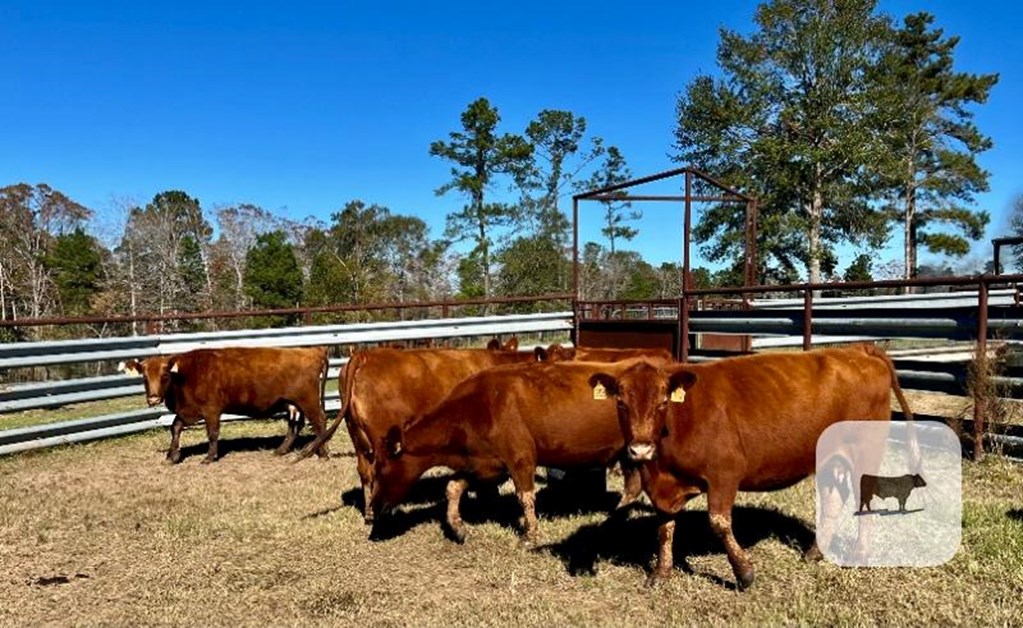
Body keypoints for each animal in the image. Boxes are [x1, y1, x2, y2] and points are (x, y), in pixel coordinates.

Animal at [120, 347, 329, 464]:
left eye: (164, 375)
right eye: (144, 377)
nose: (153, 399)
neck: (186, 375)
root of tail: (313, 351)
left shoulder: (211, 410)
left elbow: (212, 433)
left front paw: (209, 457)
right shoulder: (188, 411)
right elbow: (175, 427)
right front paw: (173, 455)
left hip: (308, 401)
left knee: (319, 422)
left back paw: (322, 453)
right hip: (292, 404)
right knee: (295, 426)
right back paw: (281, 450)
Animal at [370, 360, 671, 548]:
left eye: (382, 469)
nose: (373, 507)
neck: (474, 408)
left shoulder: (521, 460)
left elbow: (525, 497)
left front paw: (529, 535)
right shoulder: (482, 464)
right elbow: (452, 487)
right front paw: (458, 528)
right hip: (629, 453)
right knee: (633, 486)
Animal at [589, 341, 916, 593]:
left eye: (662, 402)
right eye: (621, 403)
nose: (640, 449)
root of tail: (856, 350)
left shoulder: (724, 473)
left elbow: (719, 523)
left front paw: (744, 572)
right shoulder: (661, 487)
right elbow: (665, 528)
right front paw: (661, 572)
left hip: (866, 452)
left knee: (866, 497)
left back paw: (860, 553)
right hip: (830, 458)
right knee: (834, 499)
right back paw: (814, 552)